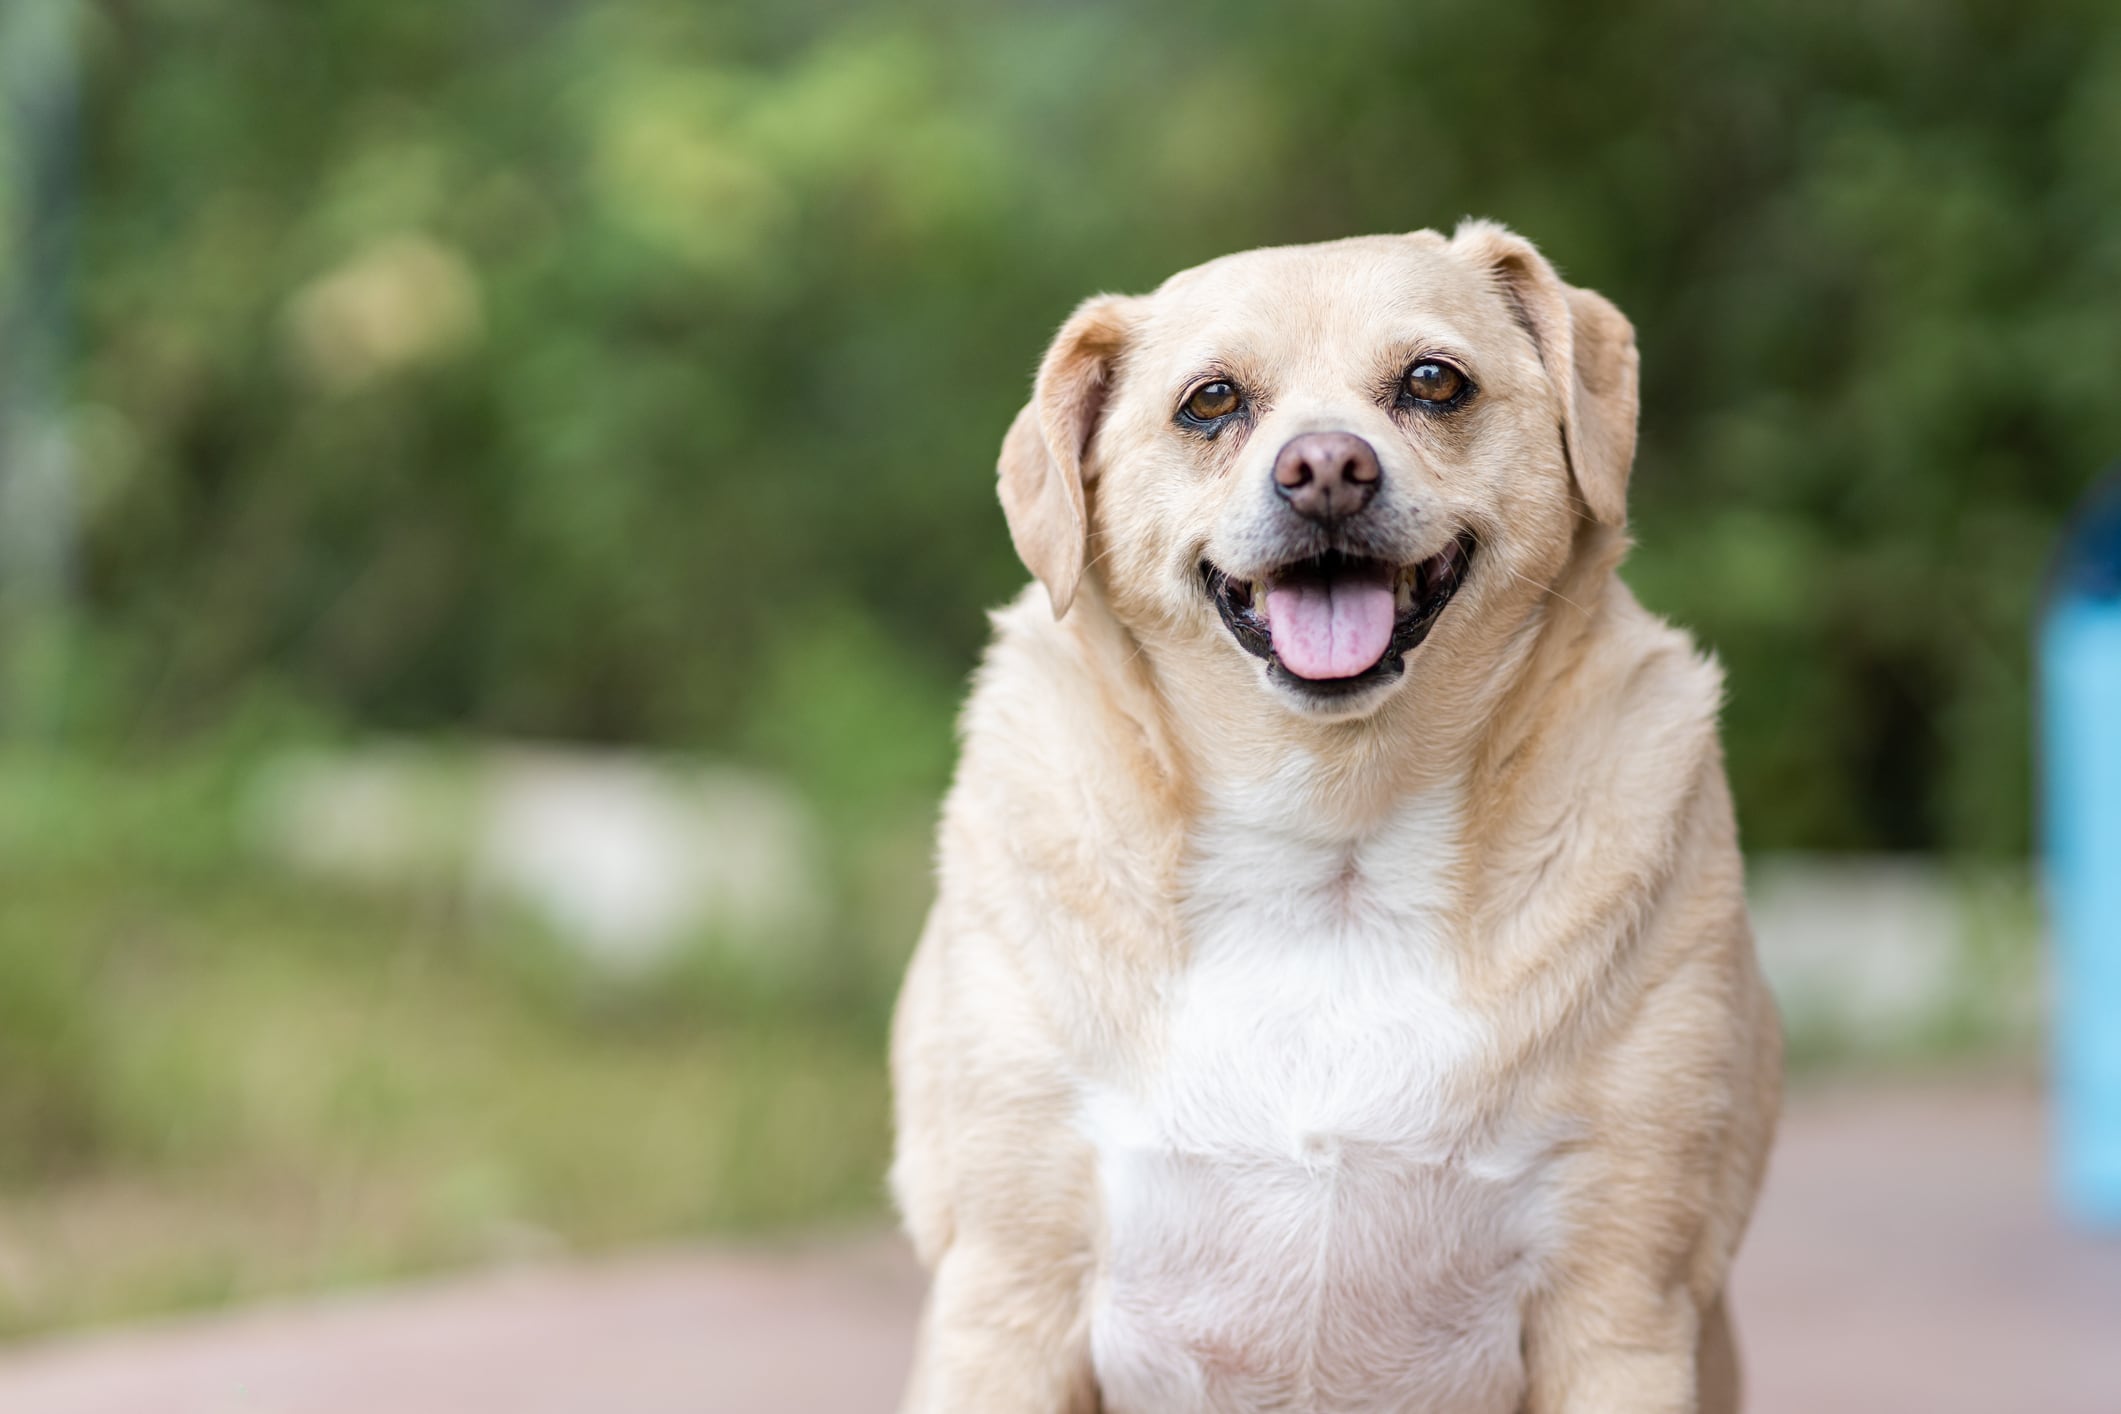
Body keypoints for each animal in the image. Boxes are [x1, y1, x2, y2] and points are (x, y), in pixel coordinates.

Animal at [886, 221, 1781, 1414]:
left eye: (1434, 381)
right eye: (1211, 401)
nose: (1325, 470)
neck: (1333, 848)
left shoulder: (1622, 1305)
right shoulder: (1005, 1302)